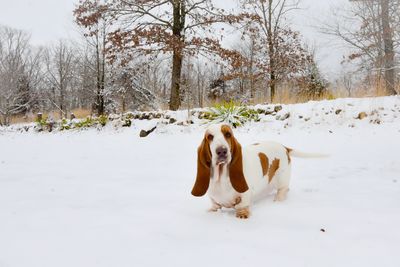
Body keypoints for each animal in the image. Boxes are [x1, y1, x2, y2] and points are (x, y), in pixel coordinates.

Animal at [192, 123, 326, 220]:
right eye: (210, 137)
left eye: (228, 134)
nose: (222, 151)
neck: (221, 177)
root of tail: (284, 147)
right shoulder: (214, 200)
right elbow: (215, 206)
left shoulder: (245, 195)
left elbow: (242, 205)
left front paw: (242, 214)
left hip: (282, 179)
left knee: (283, 189)